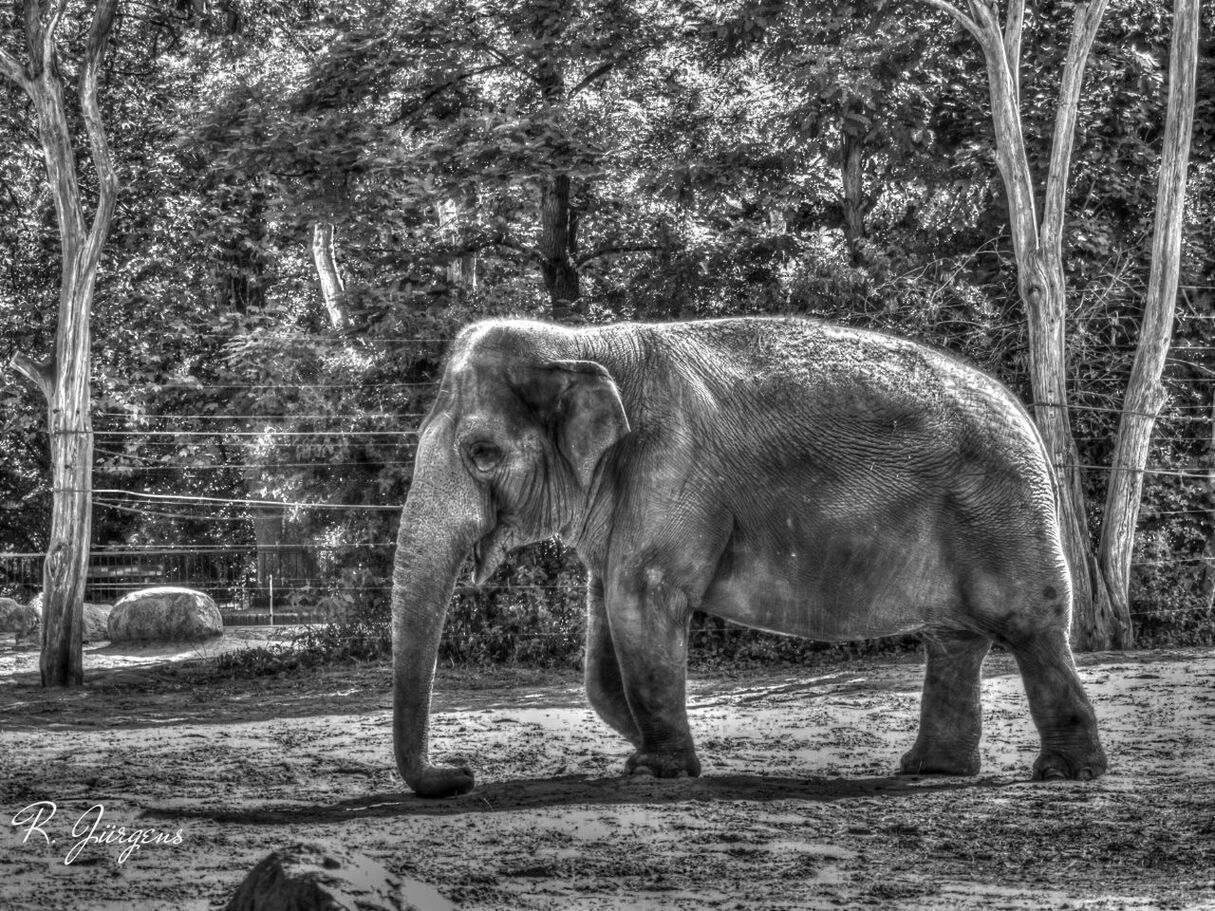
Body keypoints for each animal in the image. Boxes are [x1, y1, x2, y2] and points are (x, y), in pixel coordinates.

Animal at [391, 318, 1112, 796]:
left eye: (482, 453)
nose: (461, 774)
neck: (584, 342)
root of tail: (1027, 417)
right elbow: (605, 646)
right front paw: (658, 755)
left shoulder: (669, 467)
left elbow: (641, 599)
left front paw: (655, 770)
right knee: (955, 639)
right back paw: (930, 770)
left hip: (1003, 511)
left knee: (1030, 625)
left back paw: (1064, 774)